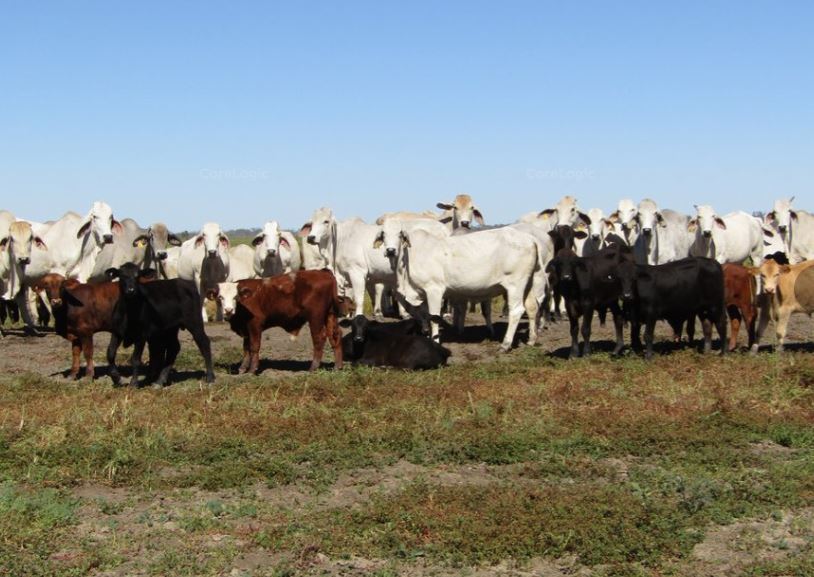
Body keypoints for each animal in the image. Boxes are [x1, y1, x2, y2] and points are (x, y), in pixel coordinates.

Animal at [211, 270, 343, 374]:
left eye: (236, 297)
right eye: (220, 297)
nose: (228, 310)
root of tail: (324, 273)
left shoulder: (255, 325)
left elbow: (254, 346)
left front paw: (252, 369)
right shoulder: (246, 329)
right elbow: (246, 348)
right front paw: (243, 368)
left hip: (315, 317)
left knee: (319, 338)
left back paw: (313, 367)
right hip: (330, 315)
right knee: (334, 336)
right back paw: (337, 366)